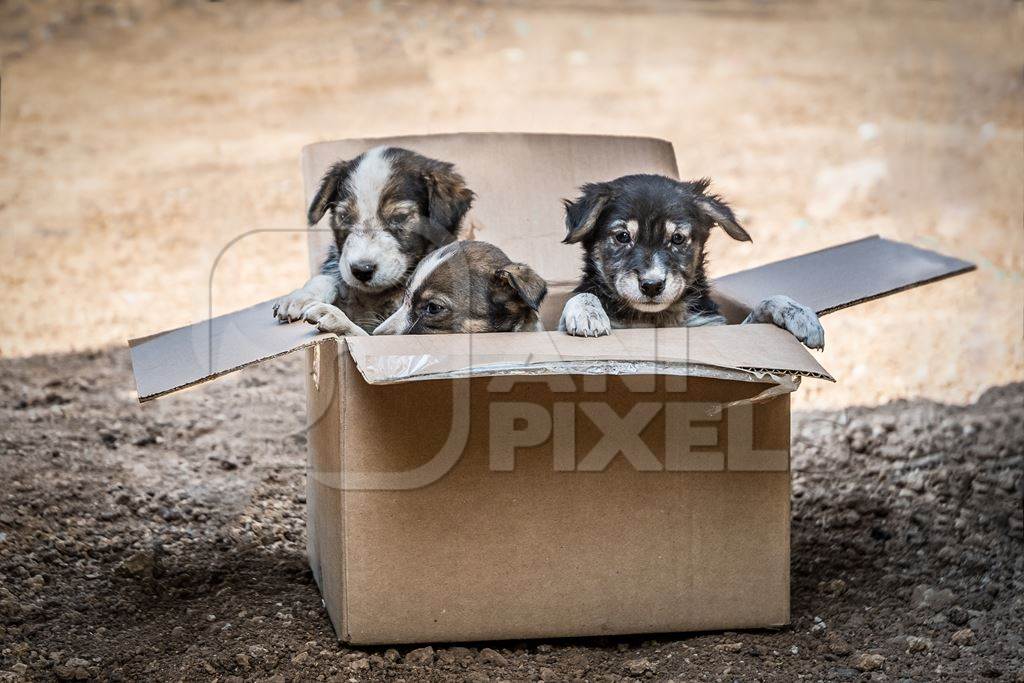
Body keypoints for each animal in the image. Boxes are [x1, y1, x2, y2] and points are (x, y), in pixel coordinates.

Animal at [274, 146, 477, 333]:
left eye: (399, 217)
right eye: (345, 217)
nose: (362, 270)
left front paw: (336, 318)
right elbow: (329, 278)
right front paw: (301, 296)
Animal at [557, 174, 827, 350]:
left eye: (677, 238)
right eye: (623, 236)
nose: (652, 286)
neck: (653, 320)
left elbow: (766, 302)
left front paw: (799, 314)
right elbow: (582, 296)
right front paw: (588, 313)